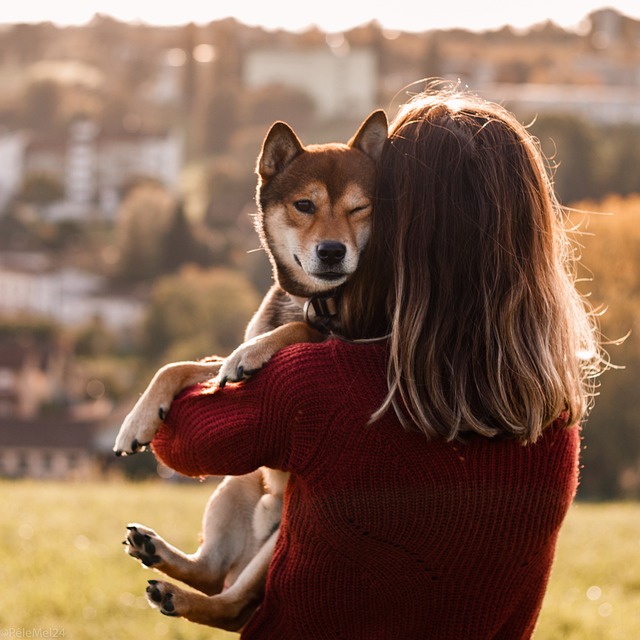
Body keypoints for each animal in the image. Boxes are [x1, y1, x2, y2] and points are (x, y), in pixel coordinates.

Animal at [112, 110, 388, 632]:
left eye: (361, 208)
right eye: (304, 205)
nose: (332, 251)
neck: (313, 300)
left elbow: (299, 332)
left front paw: (257, 352)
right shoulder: (213, 365)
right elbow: (179, 366)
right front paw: (138, 420)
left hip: (284, 531)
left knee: (230, 602)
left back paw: (179, 596)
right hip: (237, 485)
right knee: (212, 571)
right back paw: (157, 552)